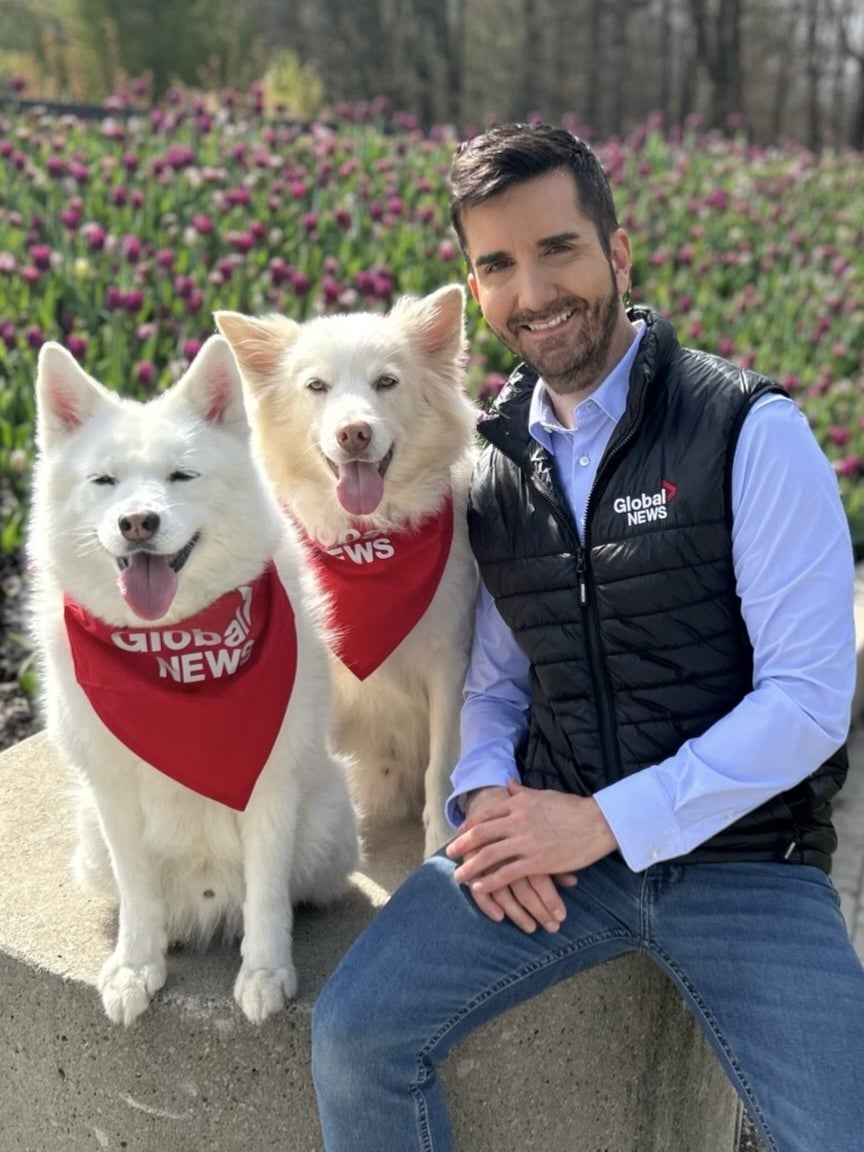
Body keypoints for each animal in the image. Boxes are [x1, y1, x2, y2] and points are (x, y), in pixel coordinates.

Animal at [27, 334, 359, 1027]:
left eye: (182, 476)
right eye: (104, 482)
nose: (138, 522)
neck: (178, 649)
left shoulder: (270, 783)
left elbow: (266, 893)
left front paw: (265, 971)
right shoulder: (113, 791)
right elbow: (137, 890)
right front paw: (136, 966)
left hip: (325, 825)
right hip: (89, 833)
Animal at [213, 288, 476, 857]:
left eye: (386, 382)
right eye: (317, 386)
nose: (354, 433)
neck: (369, 542)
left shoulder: (451, 663)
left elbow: (444, 767)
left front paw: (441, 844)